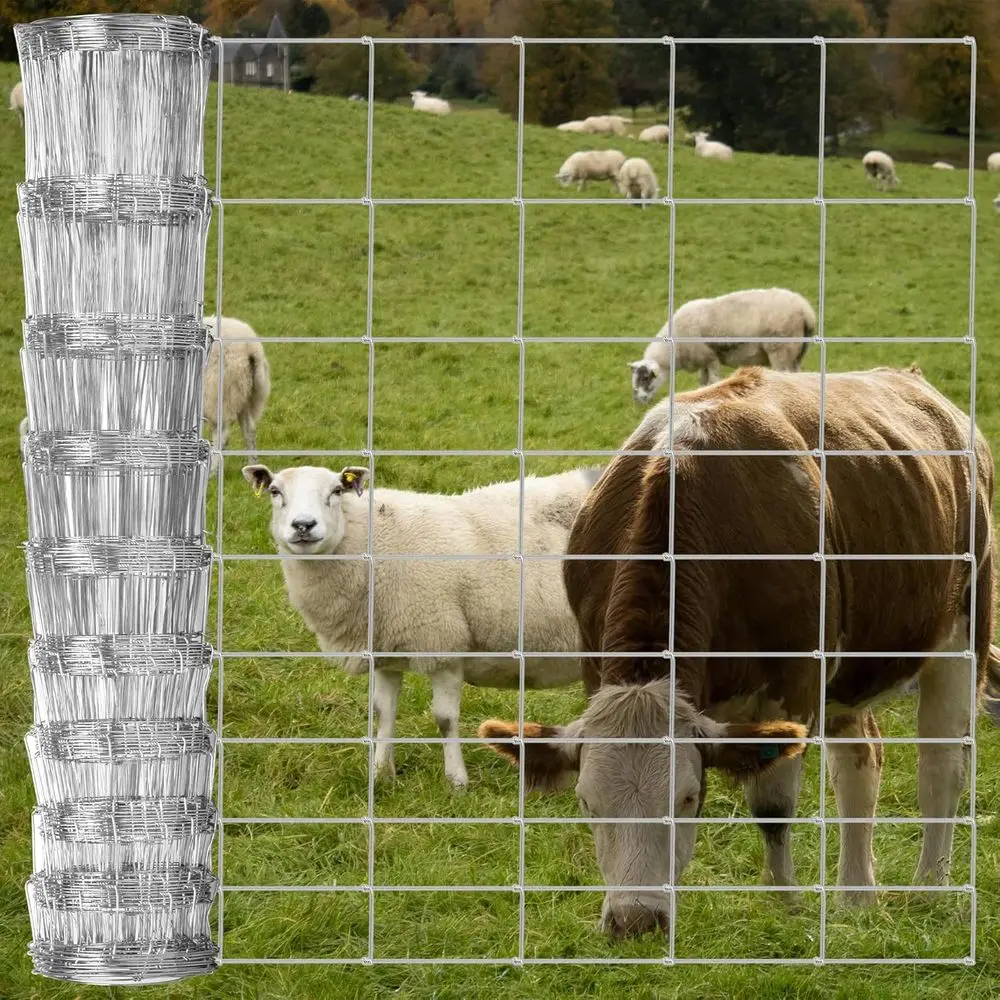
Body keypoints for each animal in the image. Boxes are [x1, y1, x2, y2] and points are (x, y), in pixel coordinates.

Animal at [478, 365, 997, 938]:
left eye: (687, 799)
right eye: (588, 804)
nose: (635, 921)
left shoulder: (792, 687)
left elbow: (772, 807)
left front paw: (785, 906)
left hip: (963, 631)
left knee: (941, 766)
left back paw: (930, 889)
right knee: (860, 764)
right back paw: (856, 897)